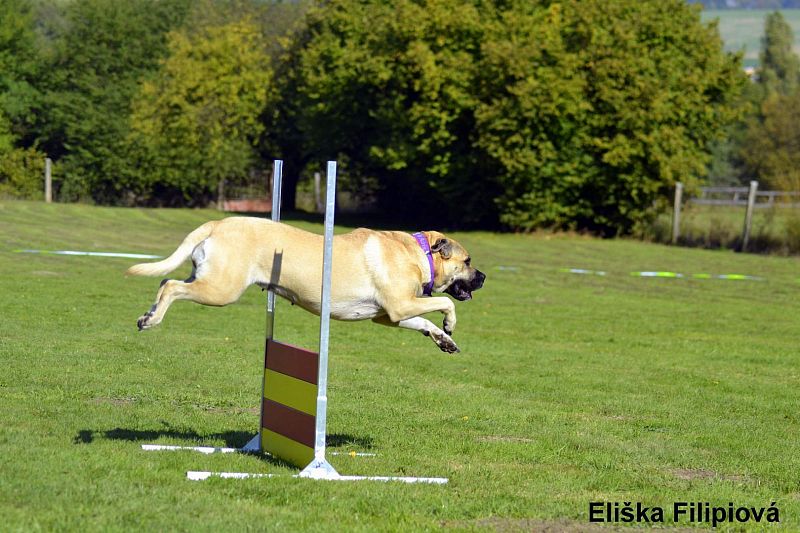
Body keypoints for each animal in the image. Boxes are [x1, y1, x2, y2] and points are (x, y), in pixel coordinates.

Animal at [128, 214, 484, 352]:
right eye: (468, 262)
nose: (483, 277)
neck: (419, 253)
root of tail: (217, 222)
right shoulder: (401, 305)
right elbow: (443, 302)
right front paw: (450, 323)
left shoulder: (390, 316)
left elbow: (423, 322)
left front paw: (444, 340)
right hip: (220, 288)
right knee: (171, 286)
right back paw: (151, 320)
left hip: (206, 277)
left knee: (165, 281)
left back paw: (148, 314)